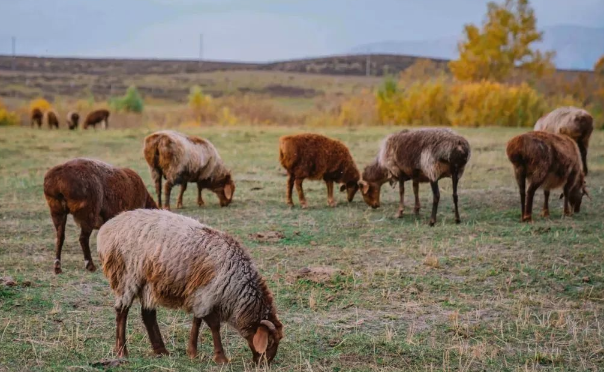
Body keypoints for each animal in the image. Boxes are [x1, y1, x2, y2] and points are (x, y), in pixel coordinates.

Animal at [98, 208, 284, 364]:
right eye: (270, 342)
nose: (264, 363)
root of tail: (107, 228)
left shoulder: (201, 295)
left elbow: (197, 320)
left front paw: (192, 352)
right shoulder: (209, 293)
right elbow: (213, 325)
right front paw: (221, 358)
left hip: (148, 284)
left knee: (148, 315)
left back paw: (161, 350)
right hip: (127, 277)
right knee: (122, 312)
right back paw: (122, 352)